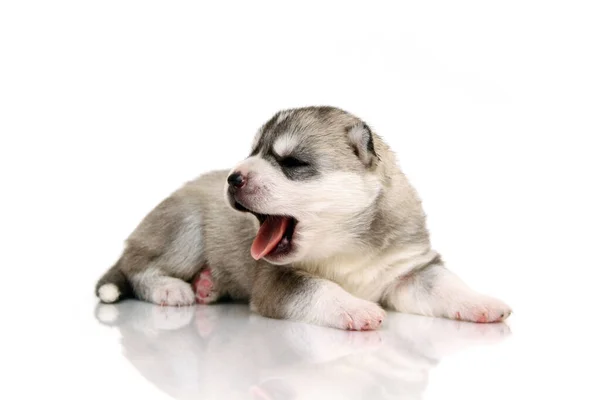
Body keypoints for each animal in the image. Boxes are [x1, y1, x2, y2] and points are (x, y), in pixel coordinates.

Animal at [96, 106, 512, 332]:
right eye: (253, 152)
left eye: (293, 162)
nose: (233, 177)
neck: (345, 242)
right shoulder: (277, 279)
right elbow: (319, 288)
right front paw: (355, 308)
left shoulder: (409, 267)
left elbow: (444, 284)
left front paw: (481, 303)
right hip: (185, 228)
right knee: (139, 268)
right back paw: (173, 289)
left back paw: (208, 286)